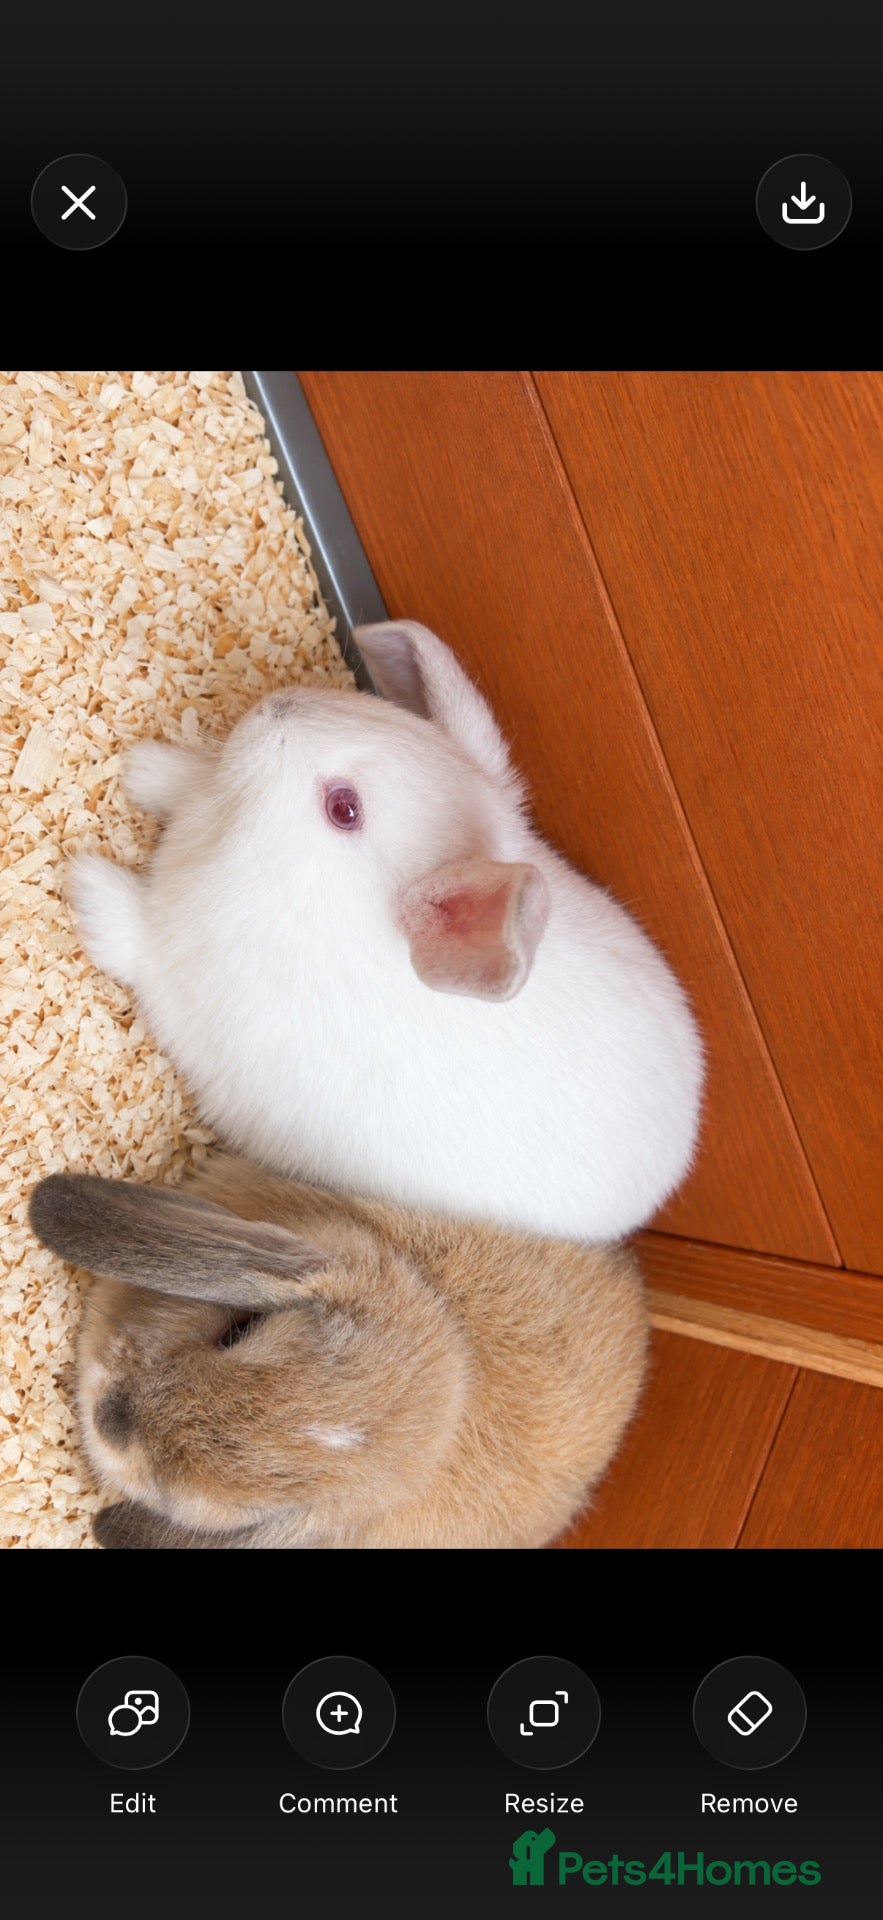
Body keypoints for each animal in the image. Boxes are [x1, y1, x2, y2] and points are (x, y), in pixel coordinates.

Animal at [68, 619, 704, 1242]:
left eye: (344, 809)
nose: (277, 706)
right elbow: (185, 781)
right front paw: (140, 767)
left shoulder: (178, 974)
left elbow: (134, 939)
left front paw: (85, 880)